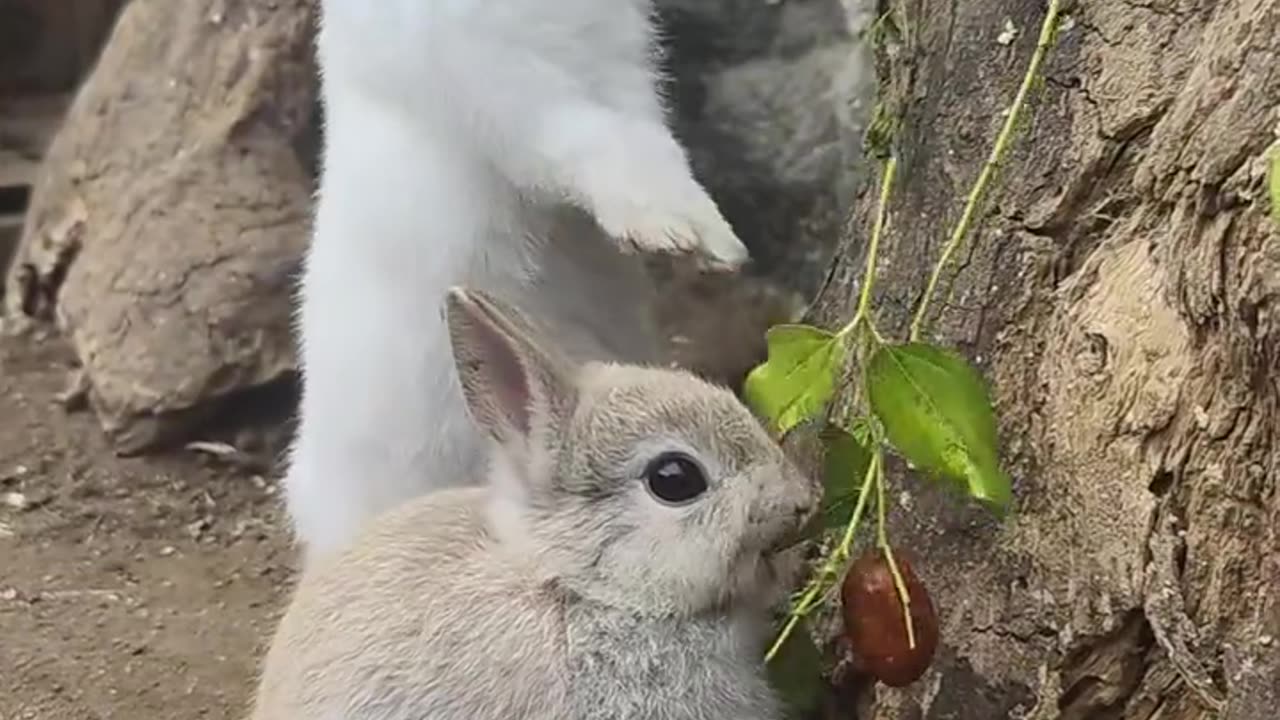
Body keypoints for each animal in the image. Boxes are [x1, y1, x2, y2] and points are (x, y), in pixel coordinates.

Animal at [286, 0, 747, 561]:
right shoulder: (501, 84)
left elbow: (652, 147)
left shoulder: (620, 69)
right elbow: (586, 144)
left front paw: (710, 240)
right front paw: (669, 234)